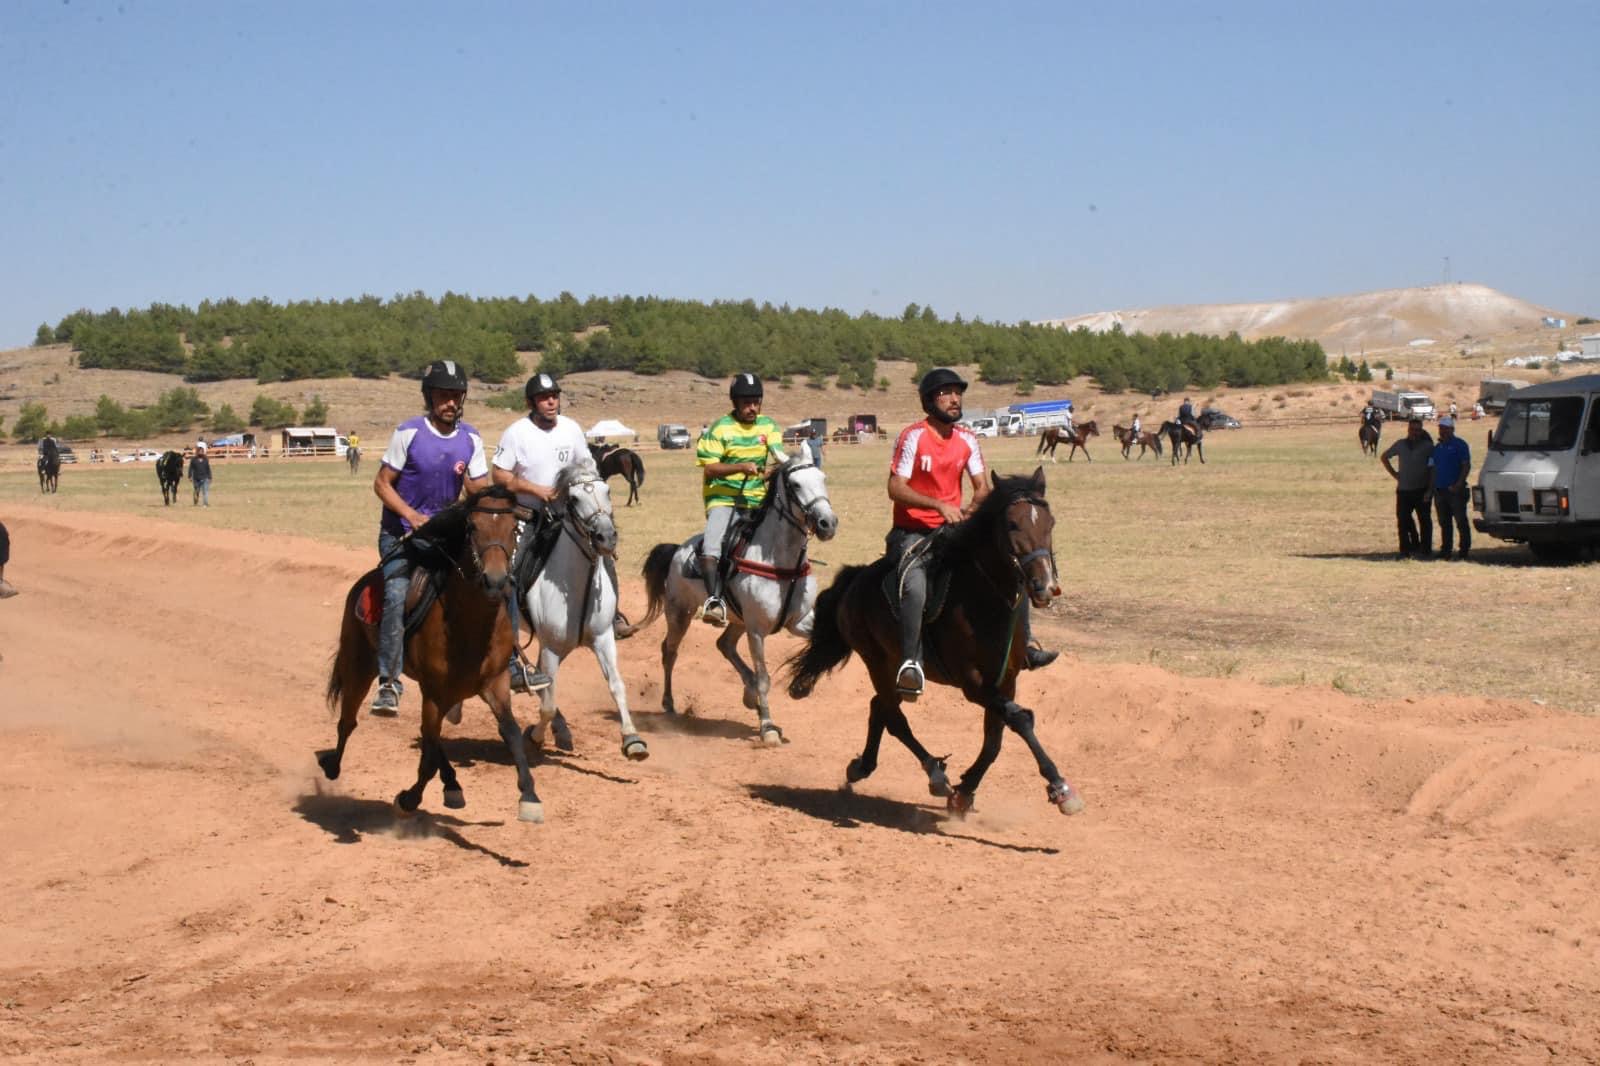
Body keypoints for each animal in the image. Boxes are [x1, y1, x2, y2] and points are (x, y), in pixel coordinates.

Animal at [315, 480, 547, 819]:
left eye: (514, 528)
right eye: (472, 527)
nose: (495, 580)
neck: (469, 626)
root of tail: (365, 582)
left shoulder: (495, 683)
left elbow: (512, 733)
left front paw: (529, 795)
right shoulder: (435, 692)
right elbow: (427, 756)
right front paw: (408, 799)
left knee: (429, 736)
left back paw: (452, 784)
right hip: (359, 665)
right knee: (349, 720)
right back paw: (332, 763)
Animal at [524, 460, 649, 758]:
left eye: (607, 491)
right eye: (574, 498)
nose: (607, 537)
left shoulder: (603, 639)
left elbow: (616, 685)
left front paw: (632, 739)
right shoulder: (551, 648)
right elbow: (548, 703)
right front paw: (534, 737)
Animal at [636, 451, 838, 742]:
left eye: (823, 478)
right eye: (795, 485)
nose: (827, 524)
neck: (780, 561)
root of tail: (677, 550)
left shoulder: (798, 620)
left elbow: (822, 643)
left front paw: (799, 687)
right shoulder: (757, 630)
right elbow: (764, 677)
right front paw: (768, 726)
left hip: (737, 620)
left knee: (724, 645)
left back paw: (748, 694)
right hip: (680, 613)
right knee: (669, 651)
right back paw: (669, 703)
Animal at [787, 464, 1088, 813]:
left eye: (1050, 523)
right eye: (1012, 524)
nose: (1045, 586)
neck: (982, 600)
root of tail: (854, 579)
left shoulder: (1005, 680)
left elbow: (994, 741)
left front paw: (965, 791)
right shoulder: (973, 684)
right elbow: (1021, 719)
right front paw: (1060, 787)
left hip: (891, 665)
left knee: (880, 707)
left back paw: (863, 766)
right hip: (875, 661)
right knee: (894, 717)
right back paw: (933, 772)